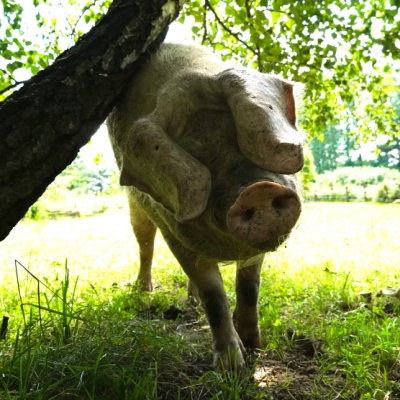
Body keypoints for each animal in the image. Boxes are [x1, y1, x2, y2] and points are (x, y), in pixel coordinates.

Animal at [106, 43, 304, 372]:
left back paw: (190, 299)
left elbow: (250, 287)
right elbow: (214, 296)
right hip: (136, 209)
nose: (258, 191)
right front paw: (231, 368)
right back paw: (144, 291)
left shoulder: (257, 249)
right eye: (197, 157)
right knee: (145, 246)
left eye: (238, 133)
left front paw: (256, 347)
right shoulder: (176, 236)